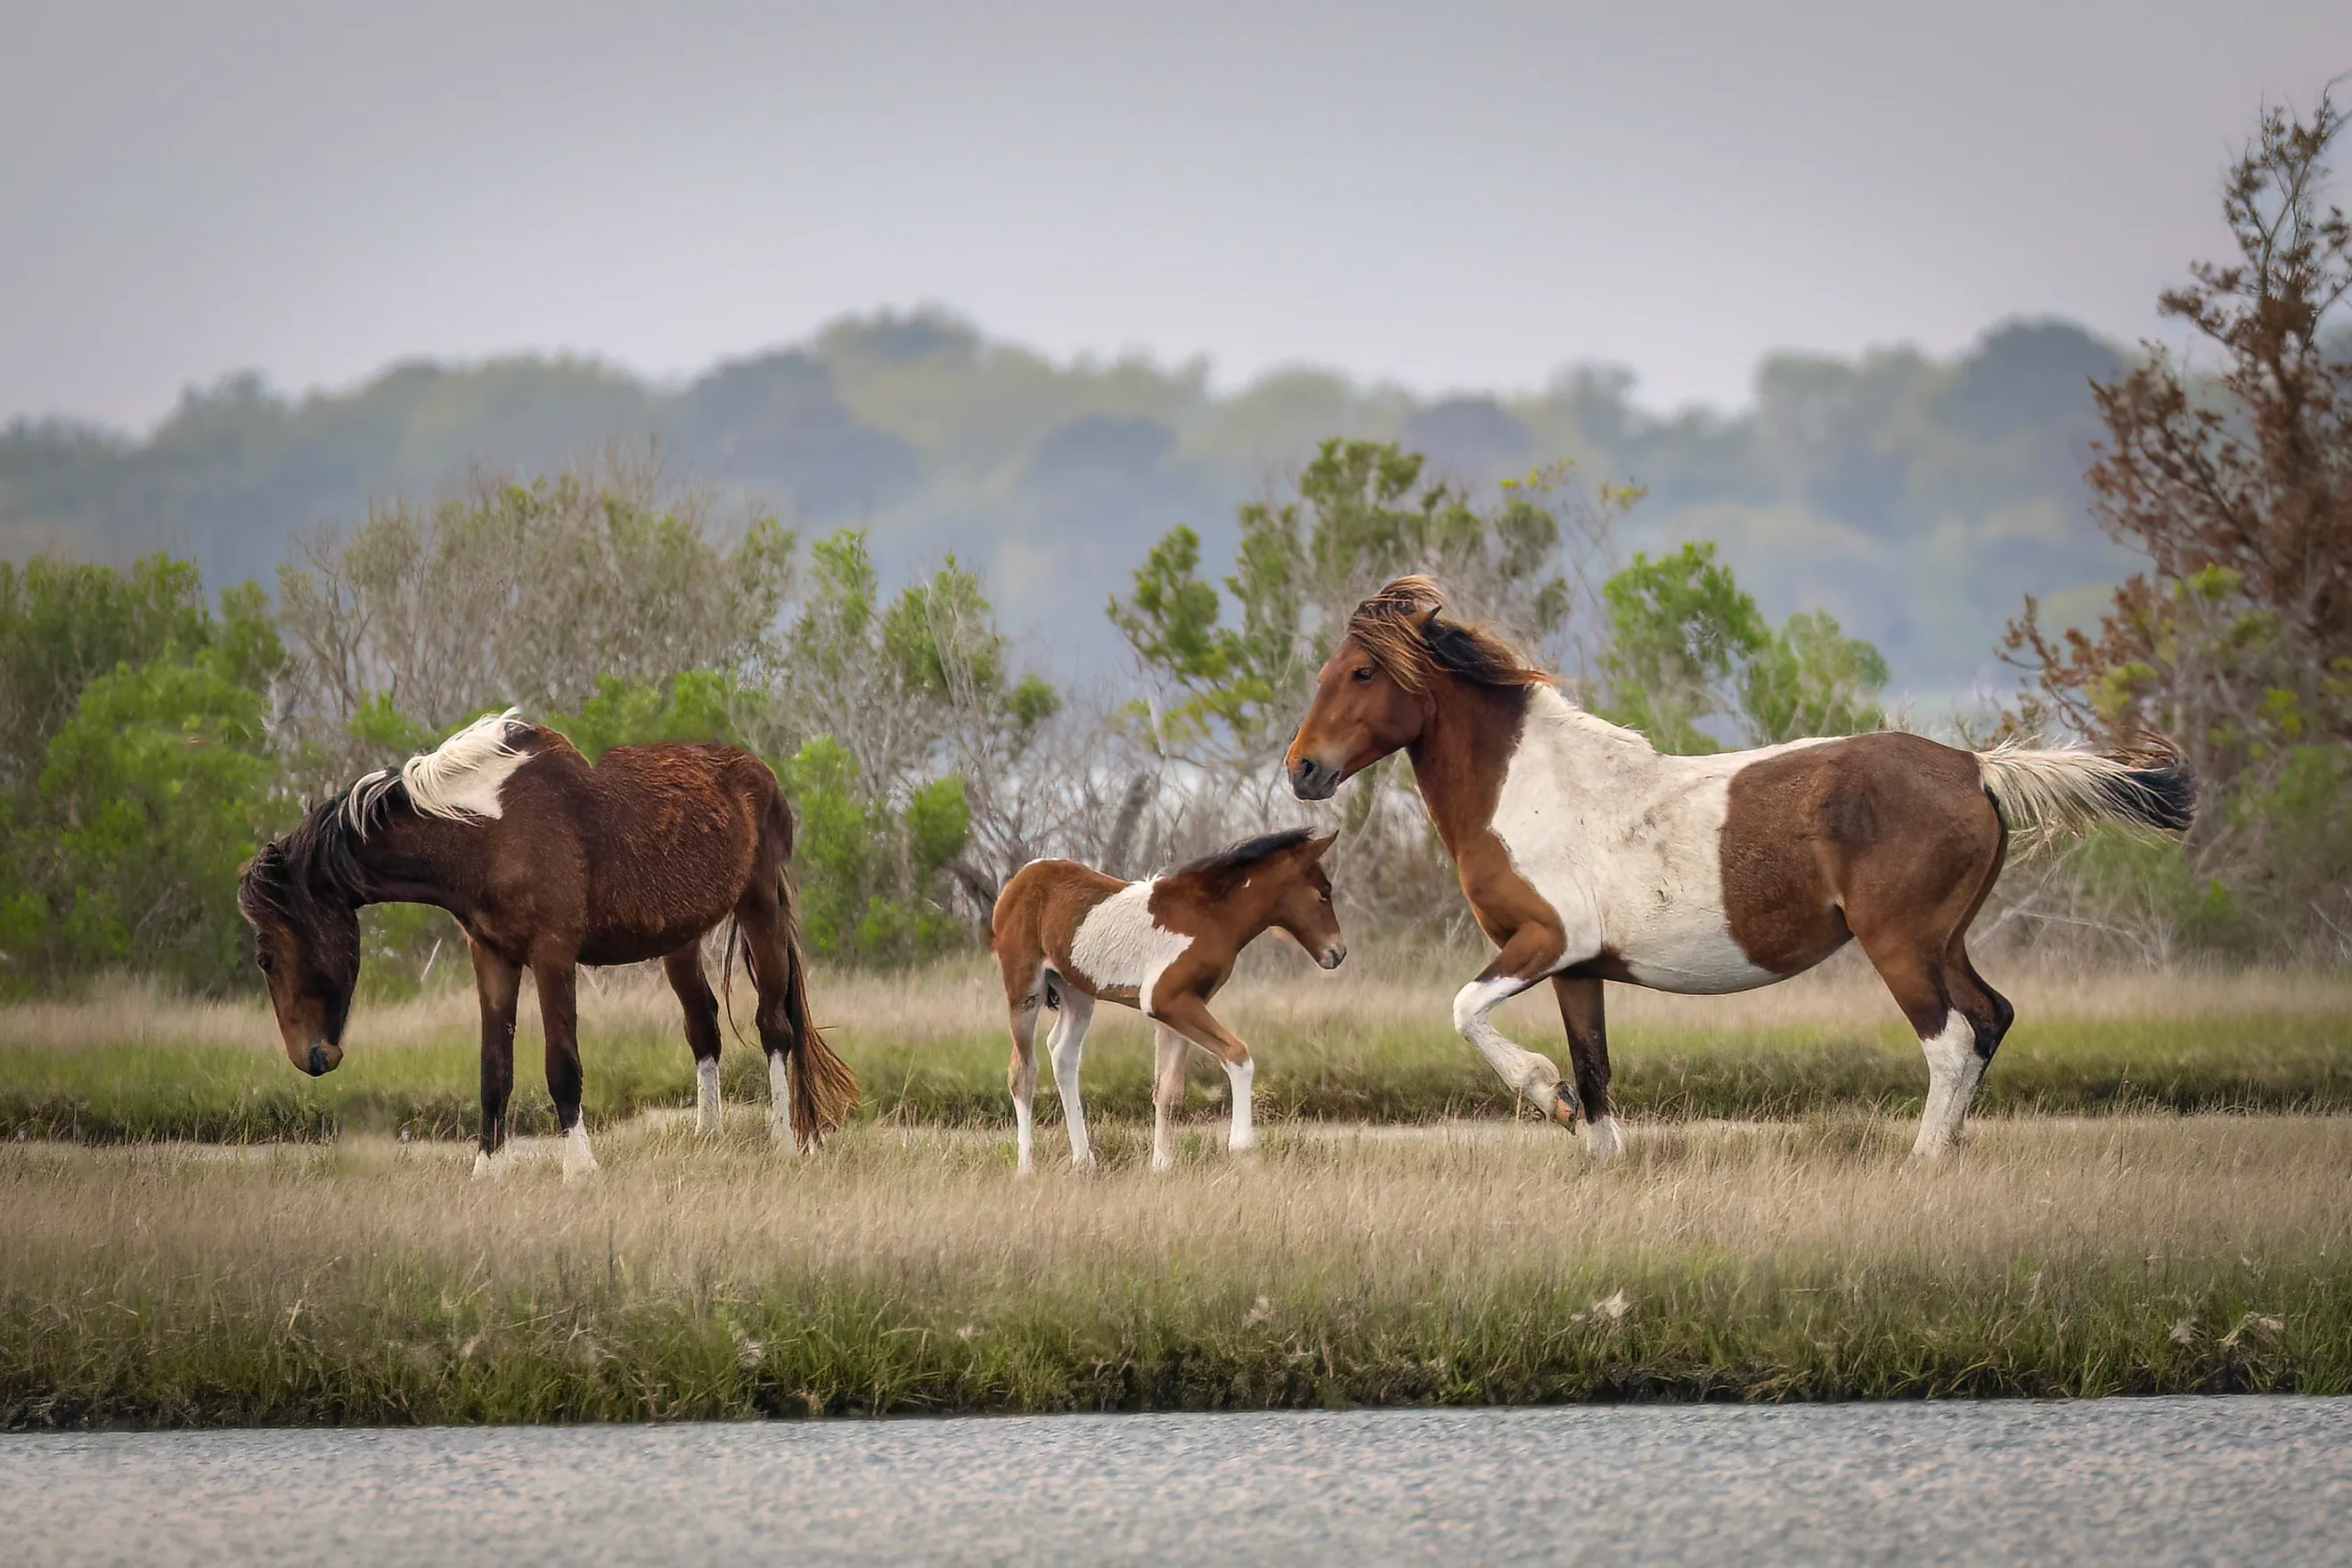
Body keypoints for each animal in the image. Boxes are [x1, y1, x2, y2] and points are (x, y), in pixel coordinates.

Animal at [236, 709, 858, 1175]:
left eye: (266, 958)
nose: (311, 1057)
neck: (488, 830)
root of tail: (760, 774)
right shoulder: (493, 958)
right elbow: (494, 1069)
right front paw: (486, 1169)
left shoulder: (552, 955)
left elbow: (563, 1066)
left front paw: (580, 1170)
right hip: (678, 941)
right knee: (703, 1028)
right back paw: (710, 1136)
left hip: (759, 908)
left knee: (774, 1026)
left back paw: (785, 1142)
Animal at [989, 828, 1345, 1173]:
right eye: (1323, 892)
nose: (1337, 952)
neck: (1210, 915)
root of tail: (1020, 878)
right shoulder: (1166, 1001)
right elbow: (1237, 1054)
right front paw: (1243, 1149)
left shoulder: (1180, 1007)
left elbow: (1168, 1090)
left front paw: (1162, 1165)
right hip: (1025, 990)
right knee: (1022, 1073)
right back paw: (1026, 1168)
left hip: (1076, 993)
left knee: (1062, 1055)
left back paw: (1084, 1161)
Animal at [1284, 576, 2195, 1159]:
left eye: (1362, 671)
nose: (1302, 769)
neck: (1534, 788)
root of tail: (1975, 767)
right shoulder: (1578, 968)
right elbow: (1595, 1071)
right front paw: (1596, 1151)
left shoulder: (1544, 941)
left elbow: (1467, 1010)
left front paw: (1545, 1097)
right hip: (1946, 940)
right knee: (1991, 1018)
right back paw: (1957, 1146)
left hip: (1900, 946)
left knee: (1950, 1041)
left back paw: (1923, 1162)